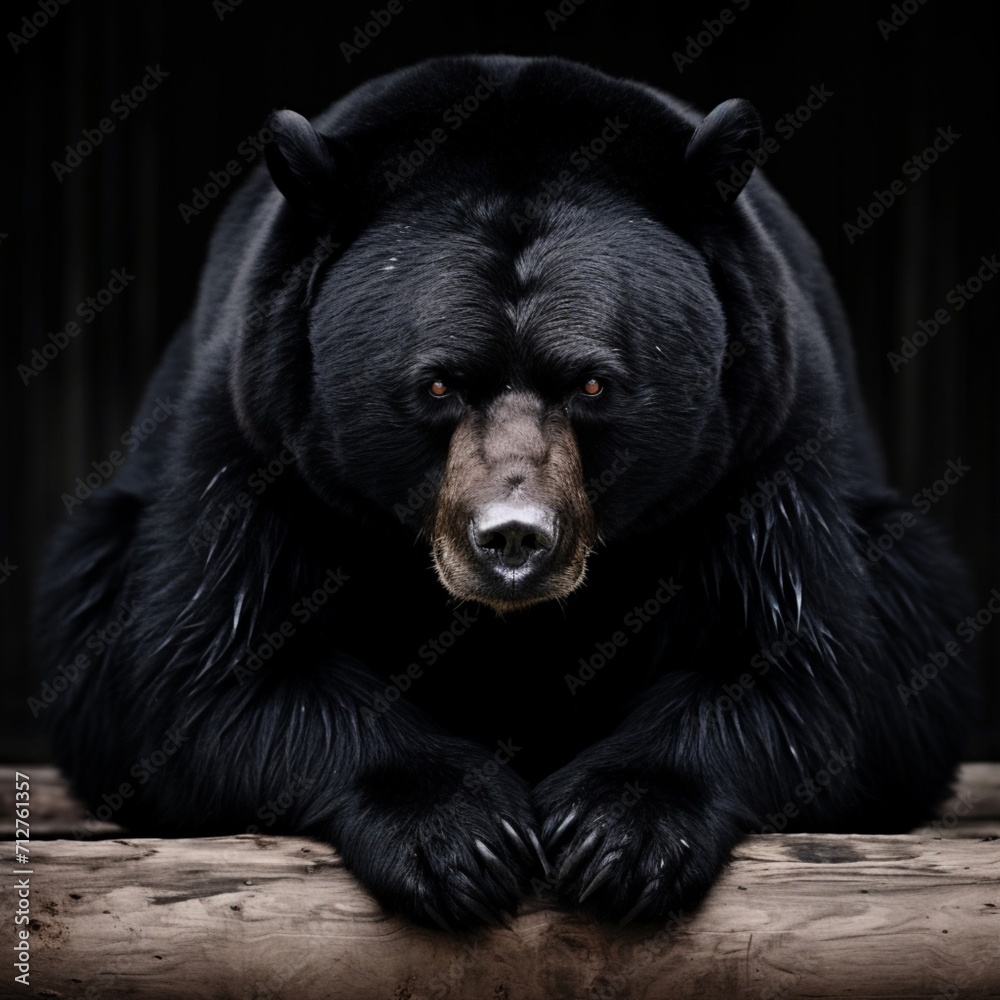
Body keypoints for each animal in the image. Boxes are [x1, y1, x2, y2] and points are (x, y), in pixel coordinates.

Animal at [35, 54, 973, 930]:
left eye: (592, 385)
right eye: (439, 385)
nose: (514, 538)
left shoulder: (767, 444)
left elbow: (808, 668)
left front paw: (616, 835)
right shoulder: (259, 440)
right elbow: (209, 670)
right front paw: (461, 839)